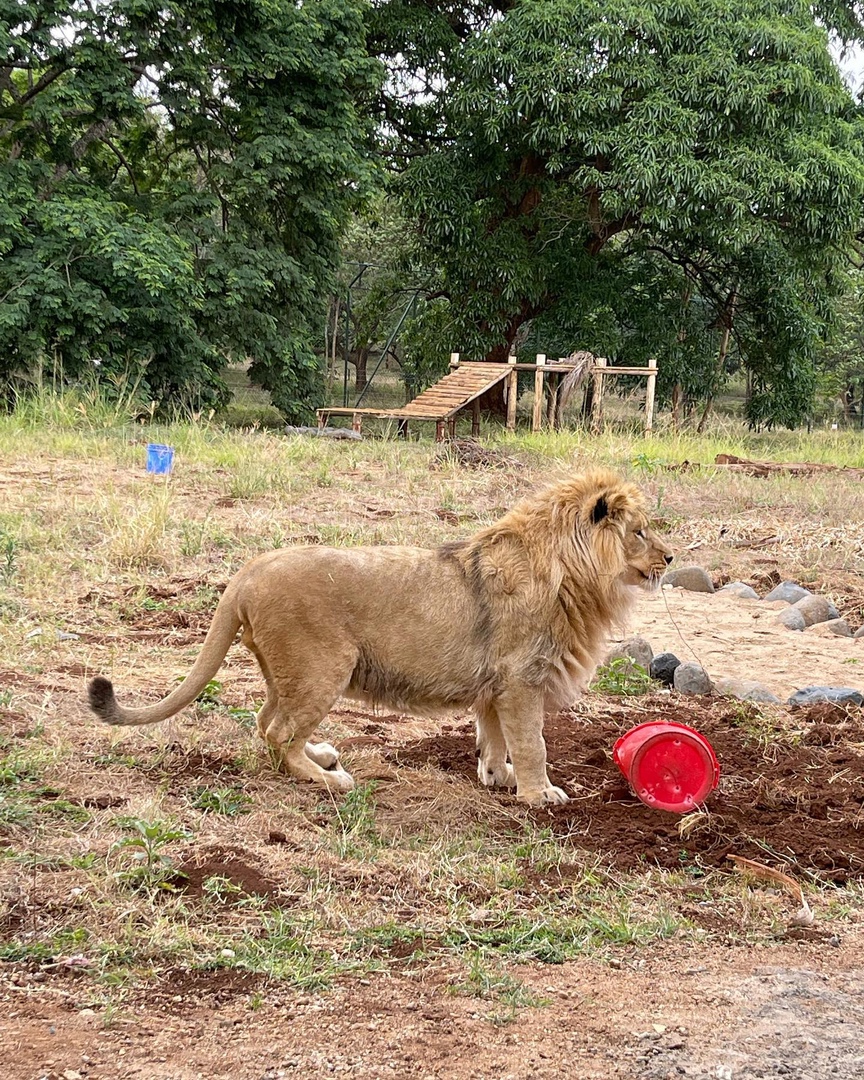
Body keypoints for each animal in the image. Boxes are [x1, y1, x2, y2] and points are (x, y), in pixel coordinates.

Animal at [87, 468, 669, 807]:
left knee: (264, 723)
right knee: (278, 733)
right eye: (640, 531)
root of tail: (246, 572)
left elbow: (496, 737)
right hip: (325, 666)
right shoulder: (522, 680)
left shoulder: (497, 686)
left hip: (287, 672)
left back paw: (322, 756)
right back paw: (329, 779)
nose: (670, 557)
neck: (572, 572)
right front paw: (539, 793)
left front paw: (496, 776)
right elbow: (533, 743)